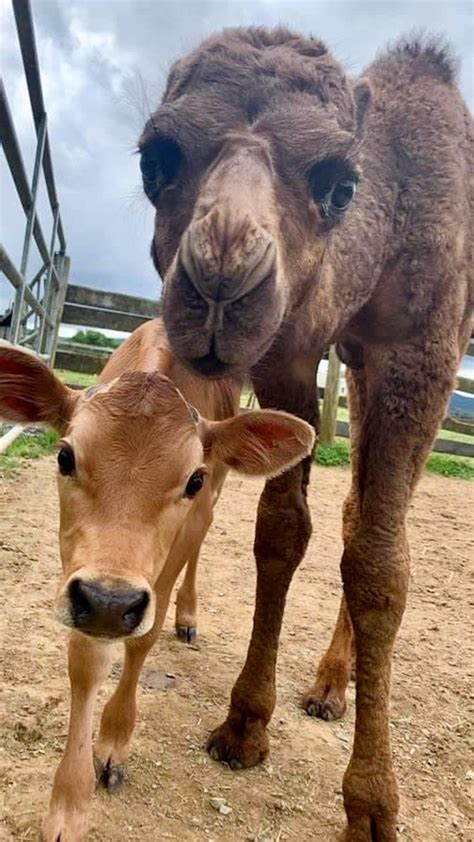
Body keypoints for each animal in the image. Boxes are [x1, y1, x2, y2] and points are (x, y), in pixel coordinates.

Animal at [0, 318, 314, 836]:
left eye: (193, 480)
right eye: (64, 457)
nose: (110, 603)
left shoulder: (188, 526)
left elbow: (144, 638)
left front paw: (113, 740)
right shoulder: (83, 576)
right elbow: (86, 661)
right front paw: (69, 805)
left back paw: (187, 616)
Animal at [139, 27, 472, 840]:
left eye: (340, 185)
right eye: (155, 160)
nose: (221, 277)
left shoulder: (424, 349)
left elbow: (383, 565)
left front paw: (374, 807)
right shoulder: (289, 347)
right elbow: (283, 529)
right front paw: (244, 726)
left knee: (378, 527)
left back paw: (334, 687)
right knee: (354, 513)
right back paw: (327, 685)